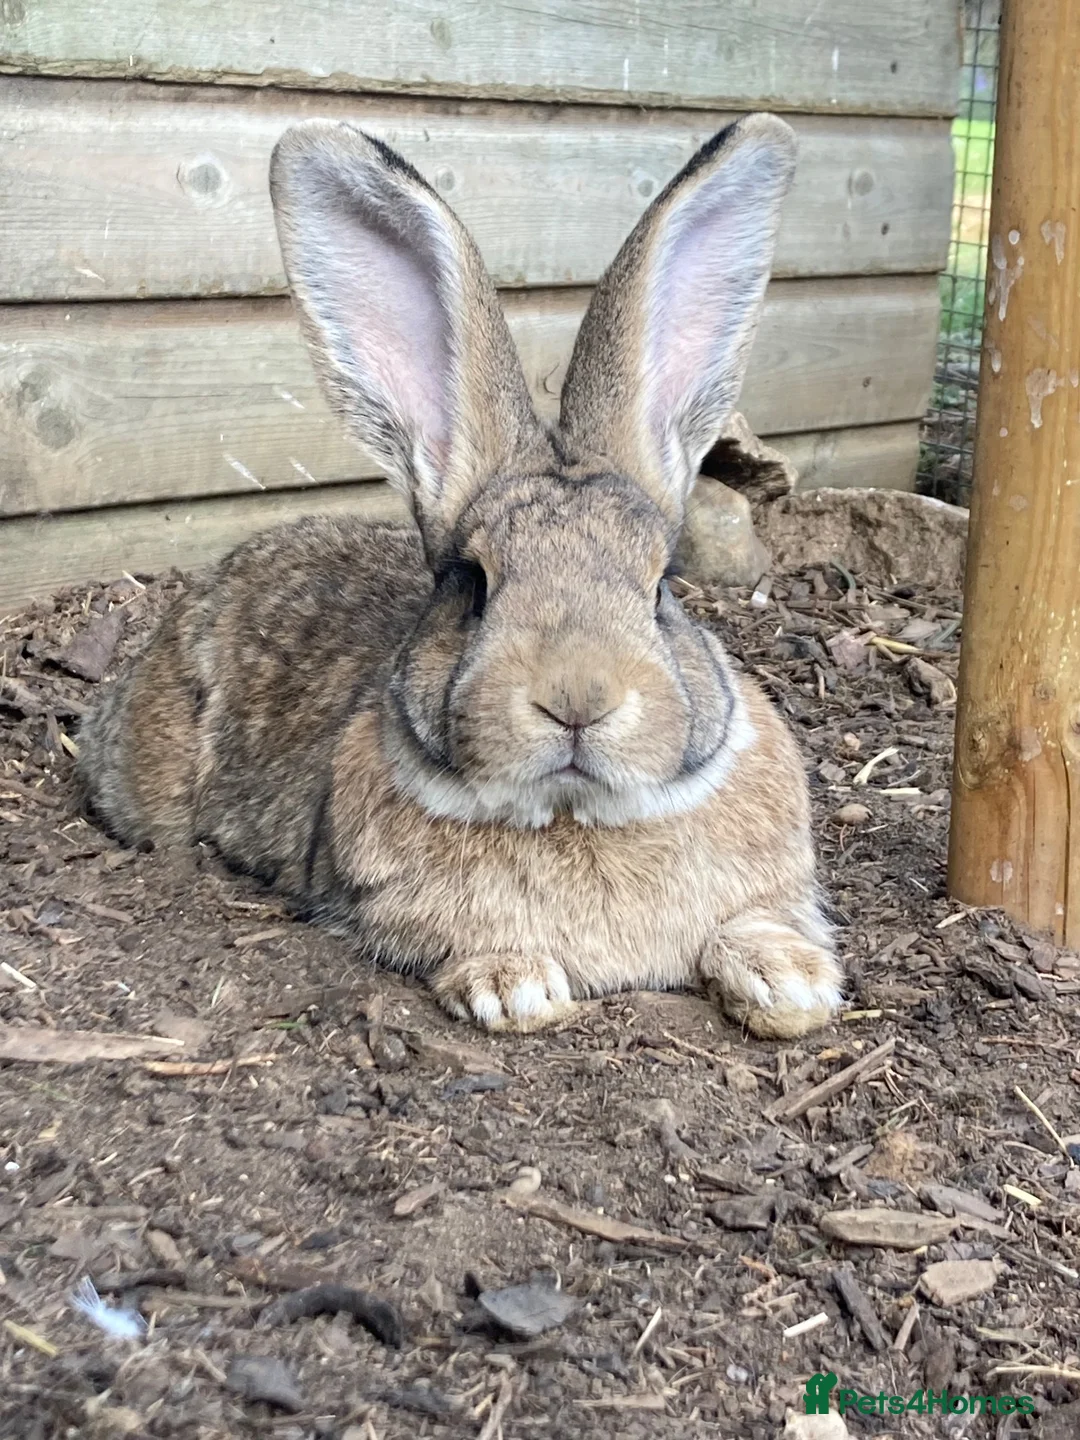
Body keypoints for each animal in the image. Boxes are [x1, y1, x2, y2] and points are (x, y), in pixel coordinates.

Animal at [76, 112, 843, 1040]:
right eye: (474, 585)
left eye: (662, 585)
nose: (577, 699)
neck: (578, 812)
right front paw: (514, 987)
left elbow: (761, 923)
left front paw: (790, 985)